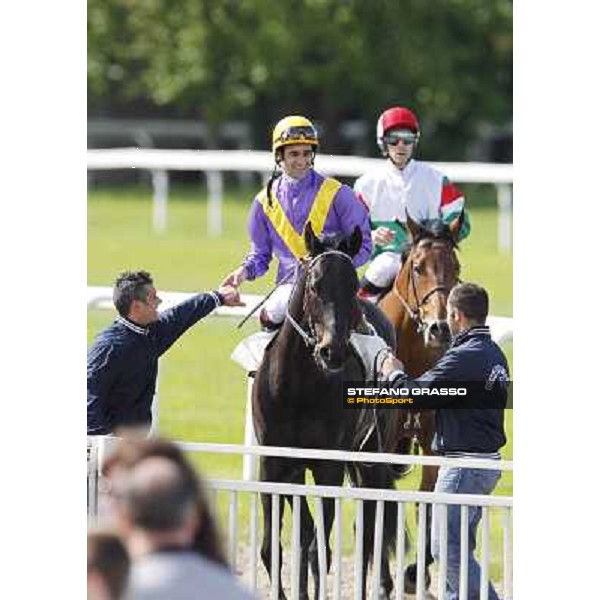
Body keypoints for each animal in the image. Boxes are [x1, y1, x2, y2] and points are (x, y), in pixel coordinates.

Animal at [252, 223, 398, 600]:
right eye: (315, 285)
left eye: (351, 286)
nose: (333, 351)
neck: (297, 388)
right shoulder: (274, 464)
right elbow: (274, 547)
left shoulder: (327, 465)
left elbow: (321, 549)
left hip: (372, 456)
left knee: (369, 526)